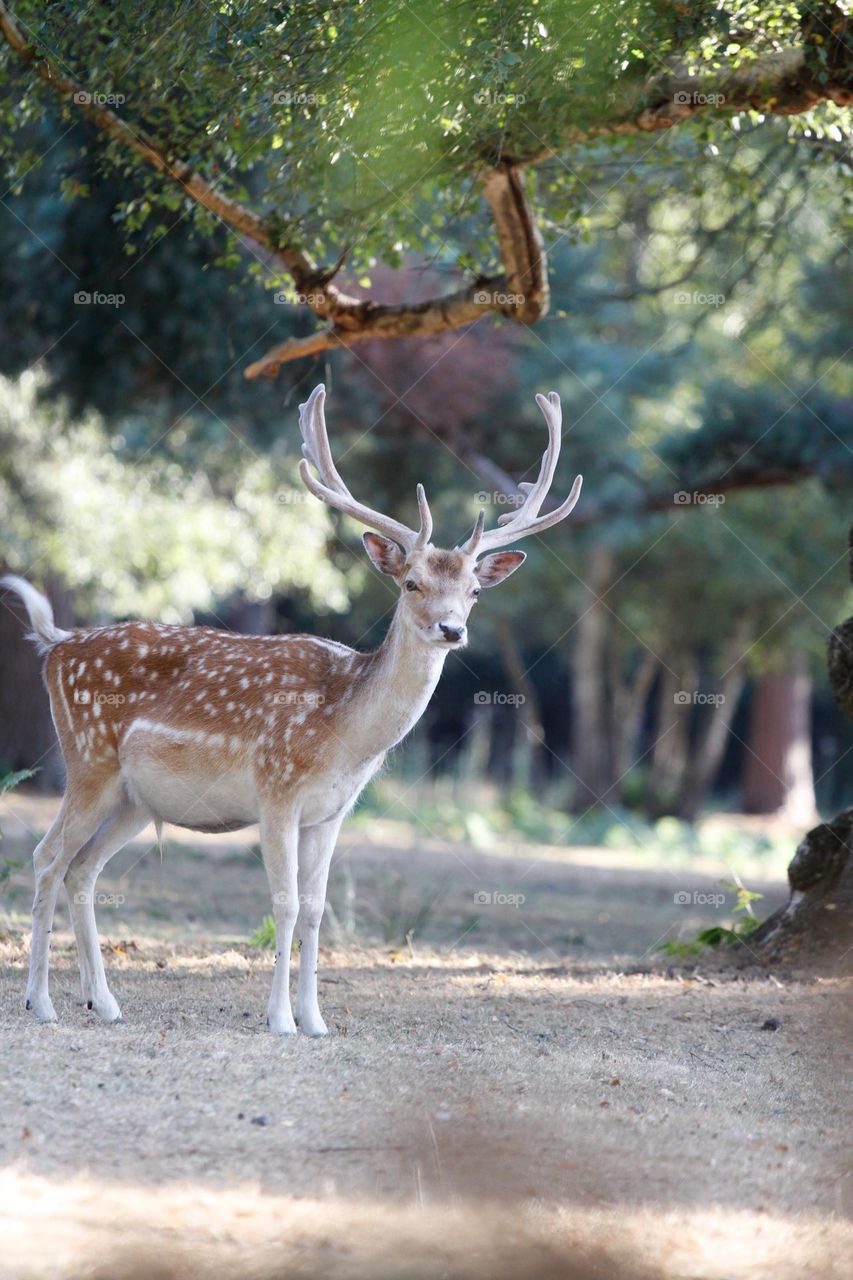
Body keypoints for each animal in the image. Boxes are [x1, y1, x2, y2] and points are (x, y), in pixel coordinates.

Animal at [3, 384, 578, 1034]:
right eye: (411, 582)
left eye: (475, 591)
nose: (452, 629)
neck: (345, 736)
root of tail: (55, 644)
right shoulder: (275, 790)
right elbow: (283, 902)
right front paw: (280, 1019)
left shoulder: (331, 813)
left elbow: (316, 907)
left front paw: (315, 1020)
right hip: (88, 761)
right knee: (47, 857)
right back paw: (41, 1001)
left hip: (133, 799)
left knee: (83, 868)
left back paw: (103, 1002)